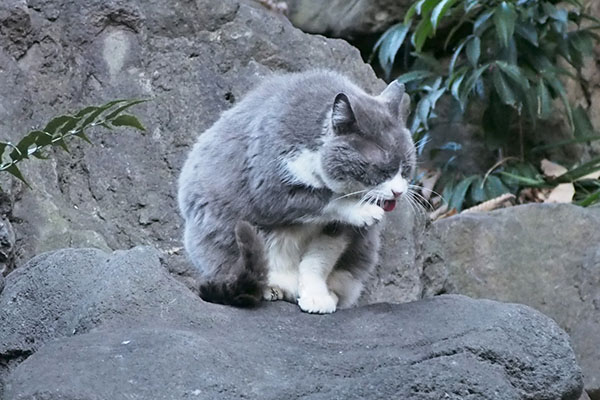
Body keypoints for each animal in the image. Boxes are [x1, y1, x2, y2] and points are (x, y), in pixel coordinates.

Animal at [176, 69, 414, 314]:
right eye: (382, 169)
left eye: (406, 168)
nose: (398, 192)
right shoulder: (269, 186)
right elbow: (325, 200)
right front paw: (364, 210)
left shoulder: (340, 230)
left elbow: (317, 262)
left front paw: (317, 298)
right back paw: (271, 289)